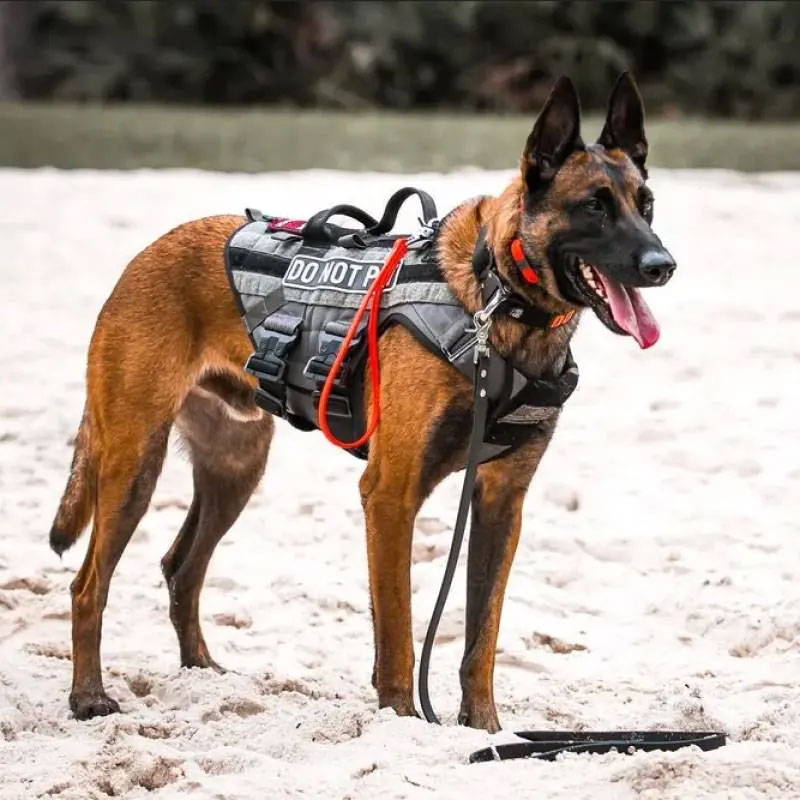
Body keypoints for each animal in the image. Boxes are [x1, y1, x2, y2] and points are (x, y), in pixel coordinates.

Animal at [50, 75, 676, 732]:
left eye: (646, 204)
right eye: (595, 207)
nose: (663, 265)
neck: (496, 299)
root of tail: (146, 253)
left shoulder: (502, 501)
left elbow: (481, 638)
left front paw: (483, 729)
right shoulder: (391, 493)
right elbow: (398, 631)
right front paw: (402, 719)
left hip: (235, 469)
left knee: (181, 567)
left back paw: (203, 672)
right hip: (133, 467)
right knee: (88, 586)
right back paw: (89, 697)